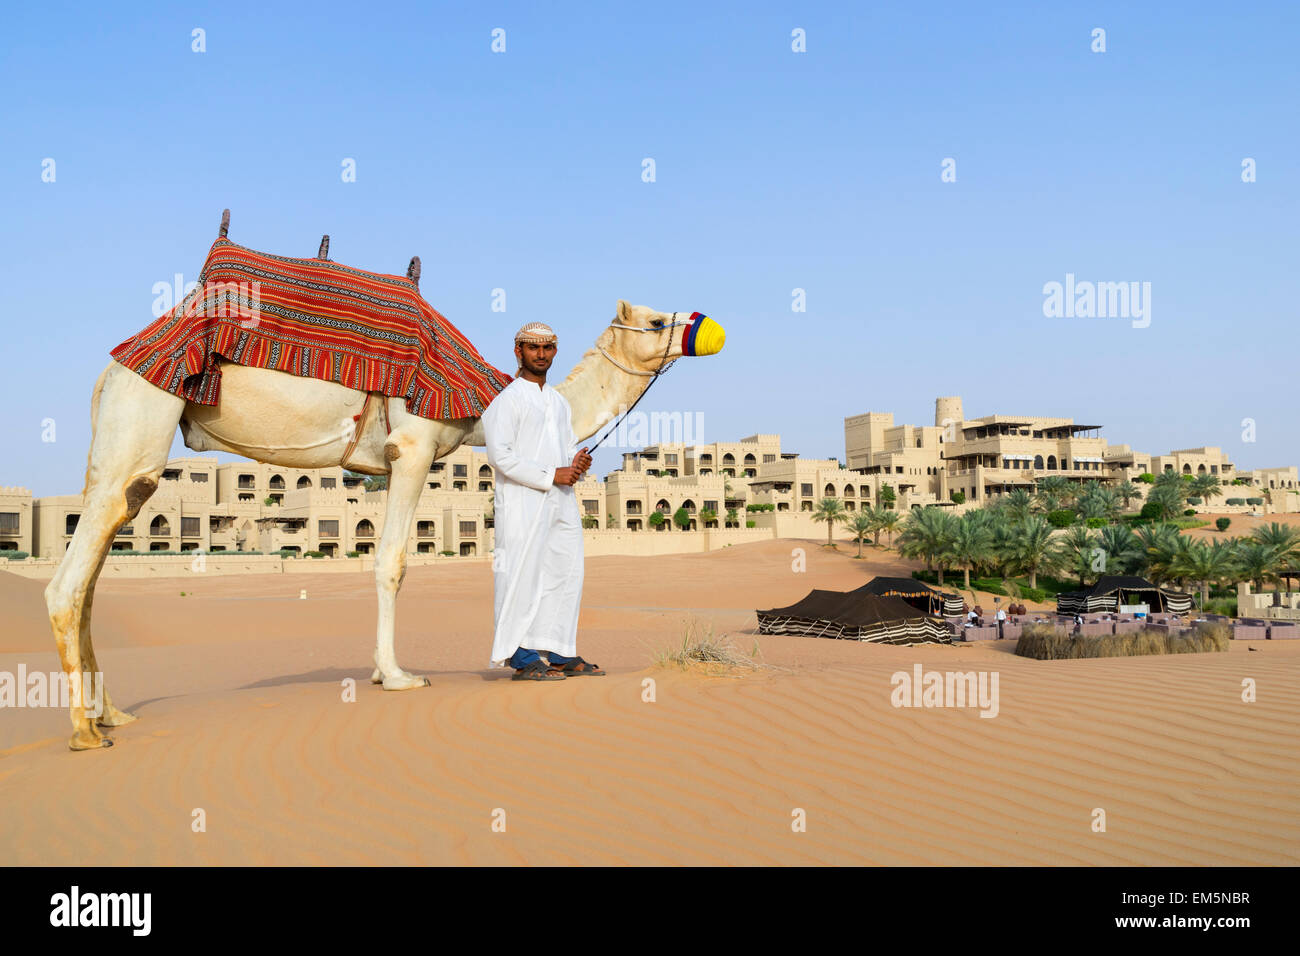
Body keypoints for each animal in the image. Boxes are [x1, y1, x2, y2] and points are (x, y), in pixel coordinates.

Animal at [45, 303, 728, 749]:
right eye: (657, 322)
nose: (709, 327)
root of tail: (108, 374)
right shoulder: (413, 446)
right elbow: (393, 560)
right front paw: (397, 676)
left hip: (120, 445)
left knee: (95, 571)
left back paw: (111, 715)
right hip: (143, 418)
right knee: (71, 578)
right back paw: (83, 732)